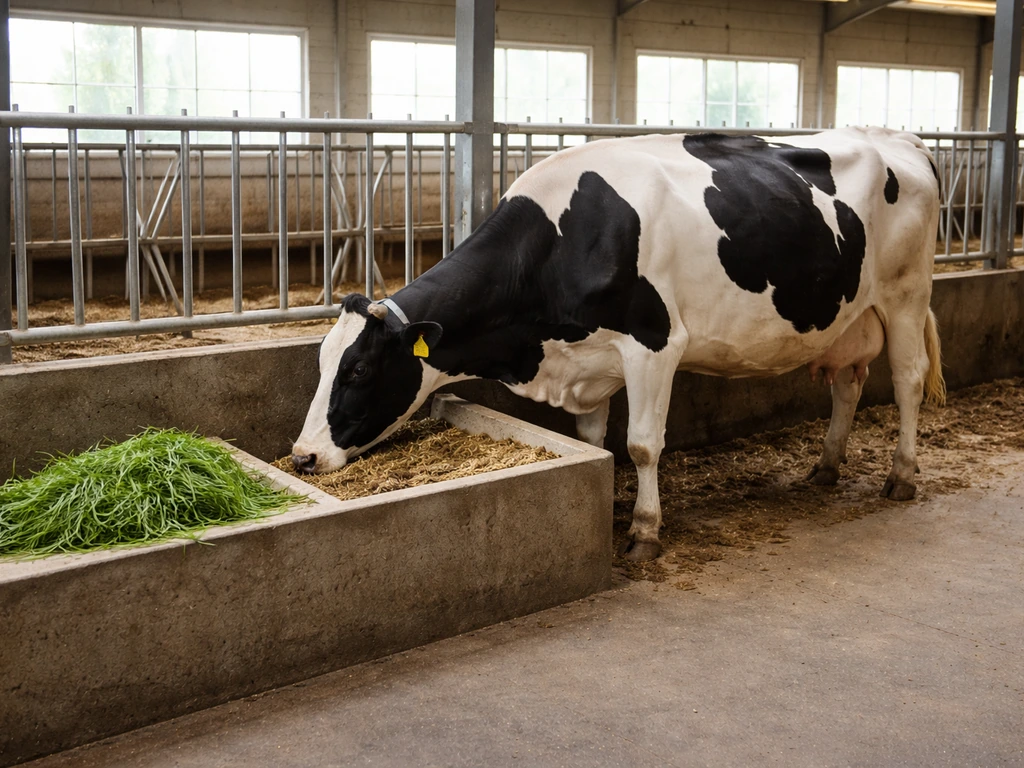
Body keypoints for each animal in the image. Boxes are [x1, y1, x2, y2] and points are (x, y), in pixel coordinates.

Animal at [292, 126, 945, 561]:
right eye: (321, 365)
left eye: (359, 370)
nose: (302, 458)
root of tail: (896, 137)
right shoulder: (591, 360)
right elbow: (592, 440)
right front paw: (607, 502)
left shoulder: (654, 343)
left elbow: (642, 445)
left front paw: (644, 530)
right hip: (853, 314)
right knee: (848, 386)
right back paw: (827, 467)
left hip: (906, 296)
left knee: (908, 380)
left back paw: (902, 476)